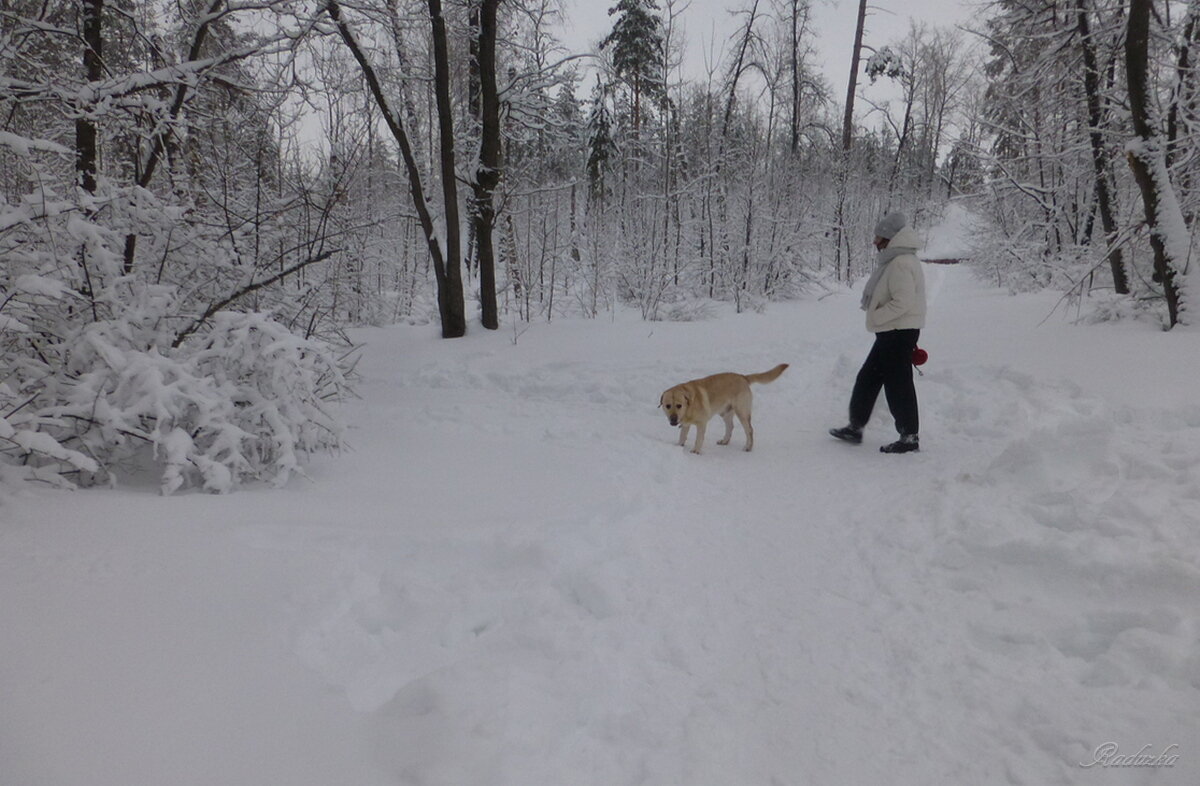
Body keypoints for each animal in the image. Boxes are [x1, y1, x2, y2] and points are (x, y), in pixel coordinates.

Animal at [657, 364, 787, 456]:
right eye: (668, 406)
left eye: (679, 405)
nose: (673, 420)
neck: (689, 407)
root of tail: (743, 377)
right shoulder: (685, 424)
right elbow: (682, 436)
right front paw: (678, 446)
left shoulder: (702, 423)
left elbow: (699, 439)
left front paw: (695, 451)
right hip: (725, 413)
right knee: (730, 427)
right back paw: (725, 441)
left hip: (742, 412)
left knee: (750, 430)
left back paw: (748, 447)